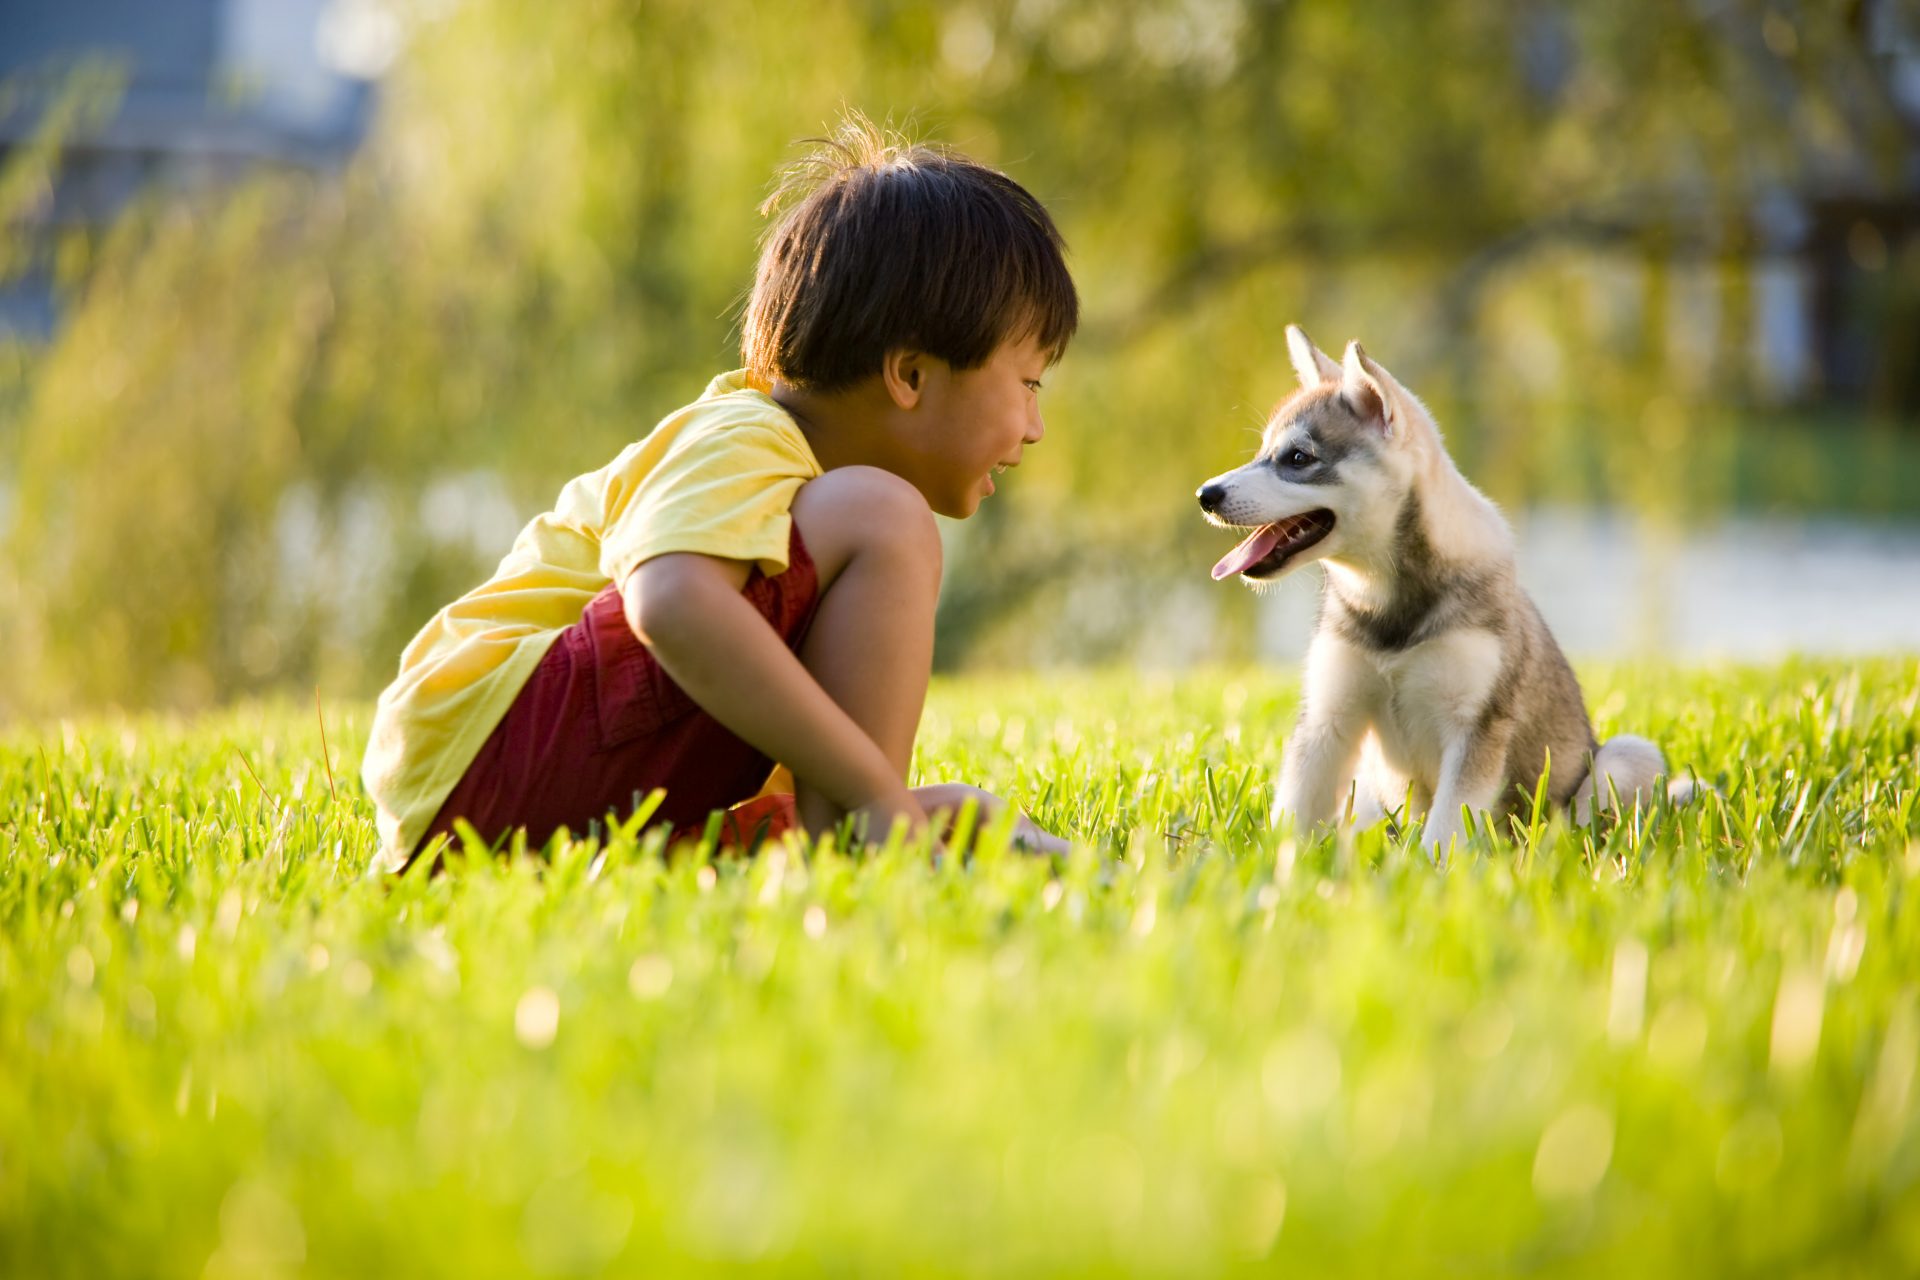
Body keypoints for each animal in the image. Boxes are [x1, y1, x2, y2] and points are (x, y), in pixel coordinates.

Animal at [1190, 326, 1674, 855]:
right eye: (1262, 453)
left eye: (1298, 458)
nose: (1205, 495)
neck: (1387, 603)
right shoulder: (1327, 719)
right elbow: (1293, 813)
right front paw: (1275, 866)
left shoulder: (1474, 729)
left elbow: (1445, 829)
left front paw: (1431, 870)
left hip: (1628, 757)